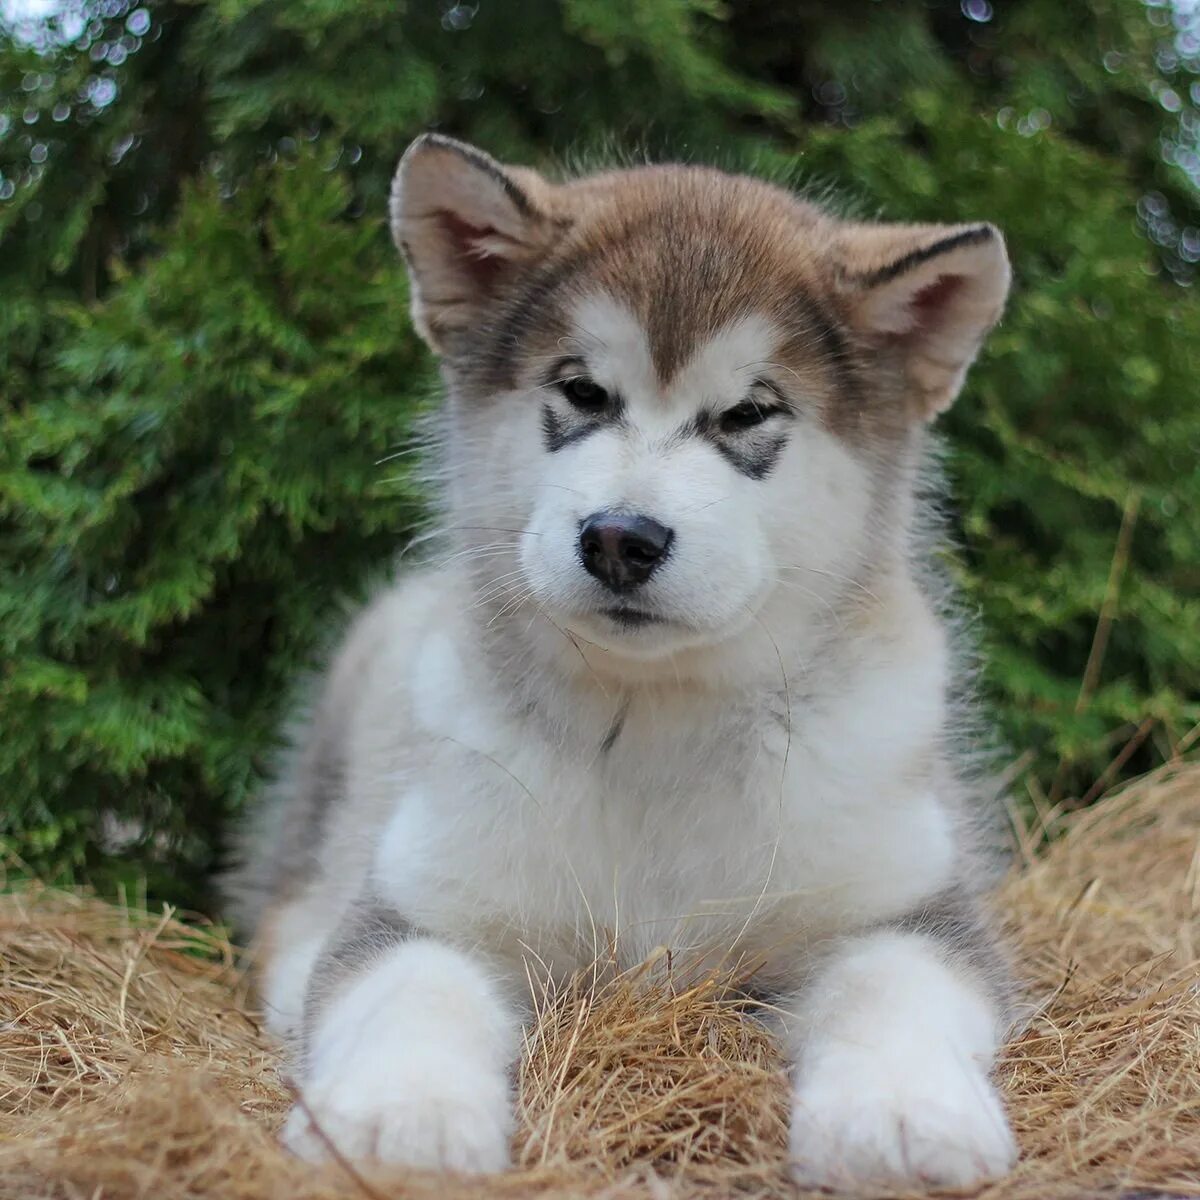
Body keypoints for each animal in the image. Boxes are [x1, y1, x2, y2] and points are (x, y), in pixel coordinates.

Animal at [226, 133, 1012, 1190]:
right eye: (583, 392)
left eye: (746, 414)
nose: (620, 539)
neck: (654, 731)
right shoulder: (431, 904)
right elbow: (411, 987)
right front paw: (400, 1118)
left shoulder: (909, 908)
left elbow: (892, 989)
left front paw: (900, 1113)